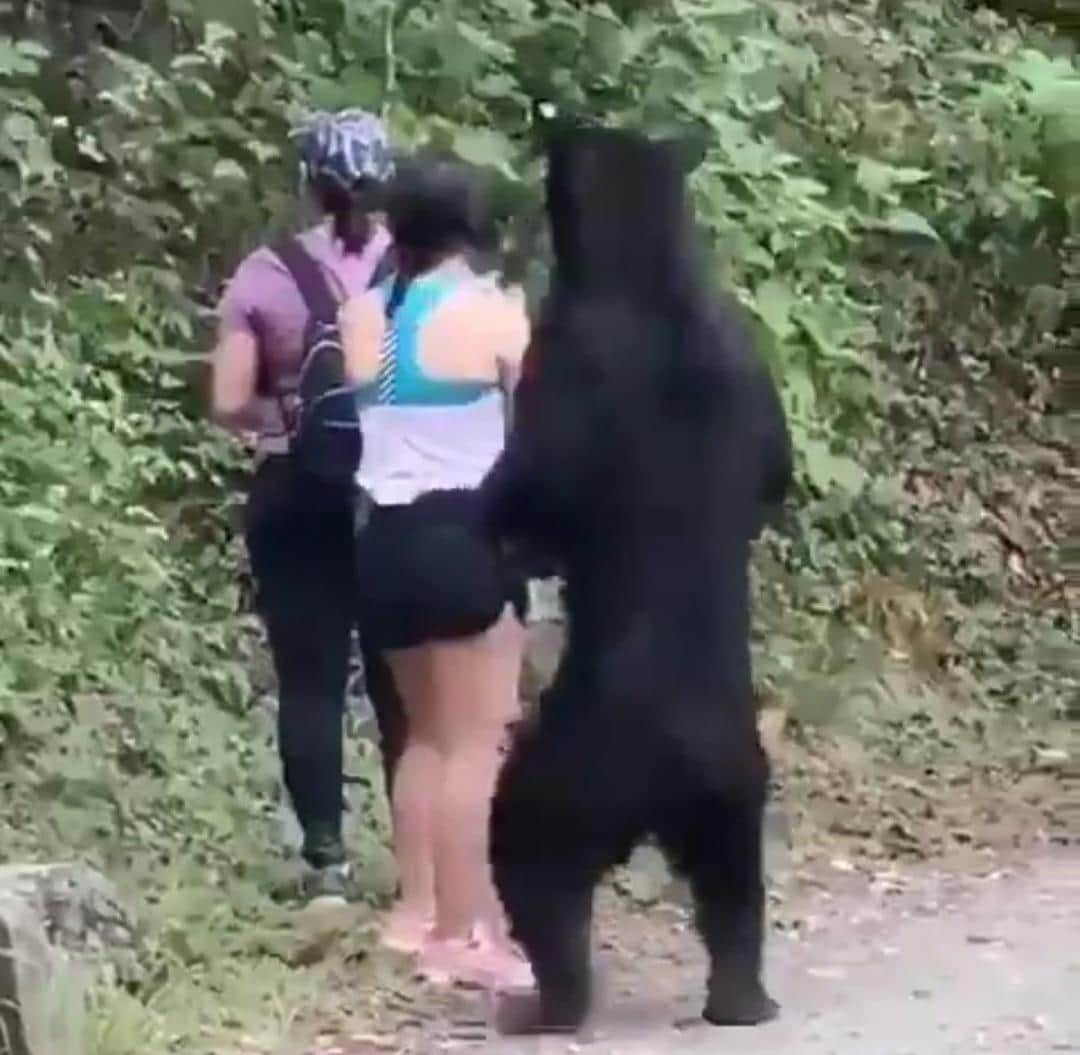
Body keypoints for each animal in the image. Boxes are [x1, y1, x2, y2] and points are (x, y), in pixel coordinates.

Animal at [478, 120, 792, 1035]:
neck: (654, 275)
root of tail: (674, 768)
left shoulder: (566, 352)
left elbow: (536, 490)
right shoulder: (746, 355)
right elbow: (777, 469)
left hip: (571, 773)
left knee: (531, 859)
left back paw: (546, 1002)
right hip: (735, 791)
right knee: (735, 891)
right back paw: (743, 997)